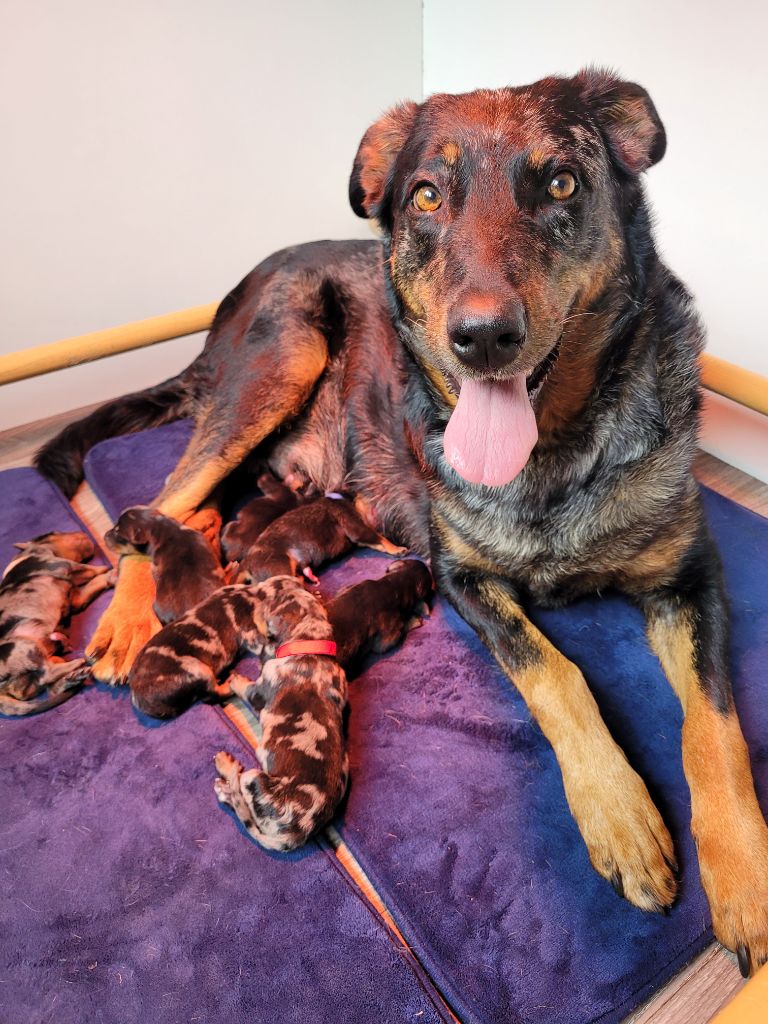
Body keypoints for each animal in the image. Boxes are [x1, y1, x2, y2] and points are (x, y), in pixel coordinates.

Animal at [0, 532, 113, 716]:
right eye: (55, 532)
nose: (82, 533)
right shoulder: (68, 566)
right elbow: (94, 570)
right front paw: (112, 569)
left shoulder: (77, 597)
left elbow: (96, 582)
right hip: (24, 646)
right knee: (48, 673)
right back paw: (78, 663)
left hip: (44, 665)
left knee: (49, 687)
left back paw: (73, 678)